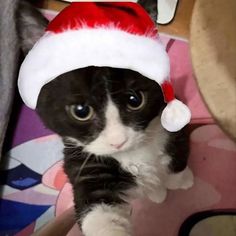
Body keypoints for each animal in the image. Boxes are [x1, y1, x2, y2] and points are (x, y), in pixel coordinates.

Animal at [36, 65, 193, 235]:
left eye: (135, 100)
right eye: (81, 111)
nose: (118, 141)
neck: (132, 152)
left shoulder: (170, 125)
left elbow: (178, 153)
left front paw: (181, 180)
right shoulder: (84, 163)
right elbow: (98, 210)